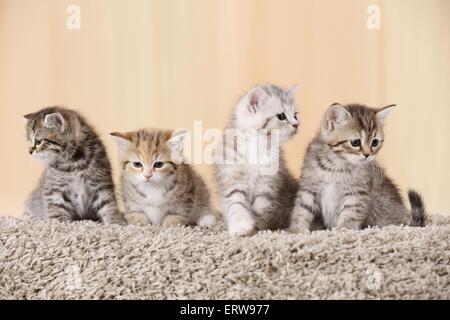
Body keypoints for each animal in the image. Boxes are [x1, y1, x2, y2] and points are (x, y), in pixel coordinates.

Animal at [215, 84, 300, 236]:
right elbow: (236, 205)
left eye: (295, 115)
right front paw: (241, 227)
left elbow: (261, 209)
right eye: (281, 116)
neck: (258, 144)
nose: (296, 124)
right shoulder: (232, 178)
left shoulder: (267, 185)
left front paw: (256, 227)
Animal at [290, 103, 428, 232]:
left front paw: (344, 231)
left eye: (375, 142)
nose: (367, 155)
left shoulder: (357, 193)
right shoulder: (309, 187)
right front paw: (297, 231)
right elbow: (301, 210)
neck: (337, 166)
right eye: (355, 142)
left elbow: (351, 215)